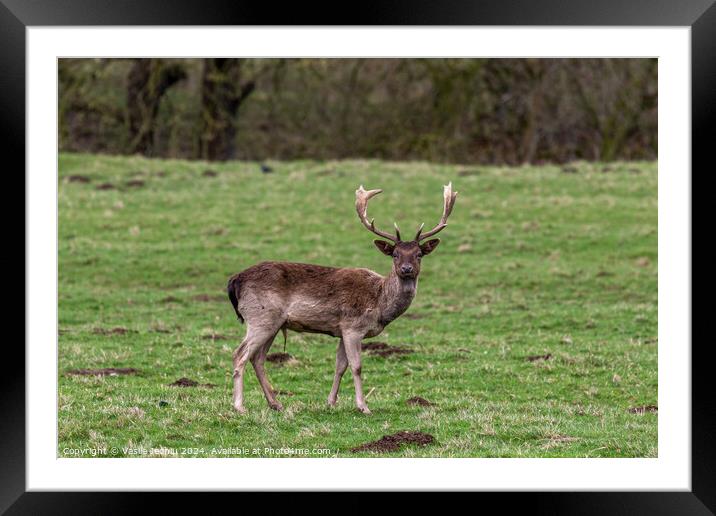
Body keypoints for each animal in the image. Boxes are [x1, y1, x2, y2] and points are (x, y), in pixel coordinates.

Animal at [227, 183, 456, 414]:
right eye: (395, 254)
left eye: (419, 254)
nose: (406, 269)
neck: (379, 304)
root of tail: (235, 280)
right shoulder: (353, 327)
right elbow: (356, 366)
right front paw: (363, 406)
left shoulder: (341, 330)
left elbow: (340, 366)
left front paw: (331, 402)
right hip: (260, 317)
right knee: (240, 354)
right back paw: (239, 406)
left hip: (274, 323)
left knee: (258, 358)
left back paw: (276, 403)